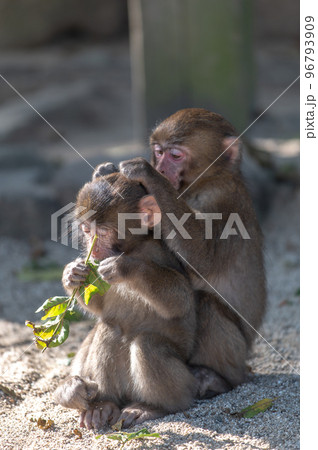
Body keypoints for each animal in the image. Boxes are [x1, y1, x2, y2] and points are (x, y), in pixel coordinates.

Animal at [56, 163, 198, 430]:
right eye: (86, 230)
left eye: (102, 232)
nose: (93, 248)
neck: (133, 247)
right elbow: (99, 307)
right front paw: (72, 275)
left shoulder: (158, 251)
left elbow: (181, 299)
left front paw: (124, 268)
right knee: (109, 329)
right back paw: (103, 405)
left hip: (185, 379)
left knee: (147, 344)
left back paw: (156, 407)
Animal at [120, 109, 268, 398]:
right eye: (159, 151)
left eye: (176, 155)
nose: (160, 168)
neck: (204, 182)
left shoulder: (224, 202)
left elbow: (202, 258)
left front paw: (148, 176)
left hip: (236, 354)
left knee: (207, 304)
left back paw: (216, 379)